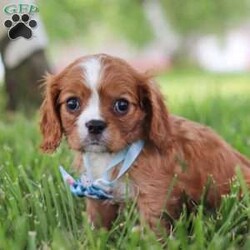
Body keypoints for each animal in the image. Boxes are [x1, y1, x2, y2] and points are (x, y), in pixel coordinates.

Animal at [40, 54, 250, 232]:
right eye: (72, 103)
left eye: (122, 105)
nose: (95, 125)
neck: (115, 155)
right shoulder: (97, 192)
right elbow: (96, 223)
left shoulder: (155, 193)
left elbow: (152, 228)